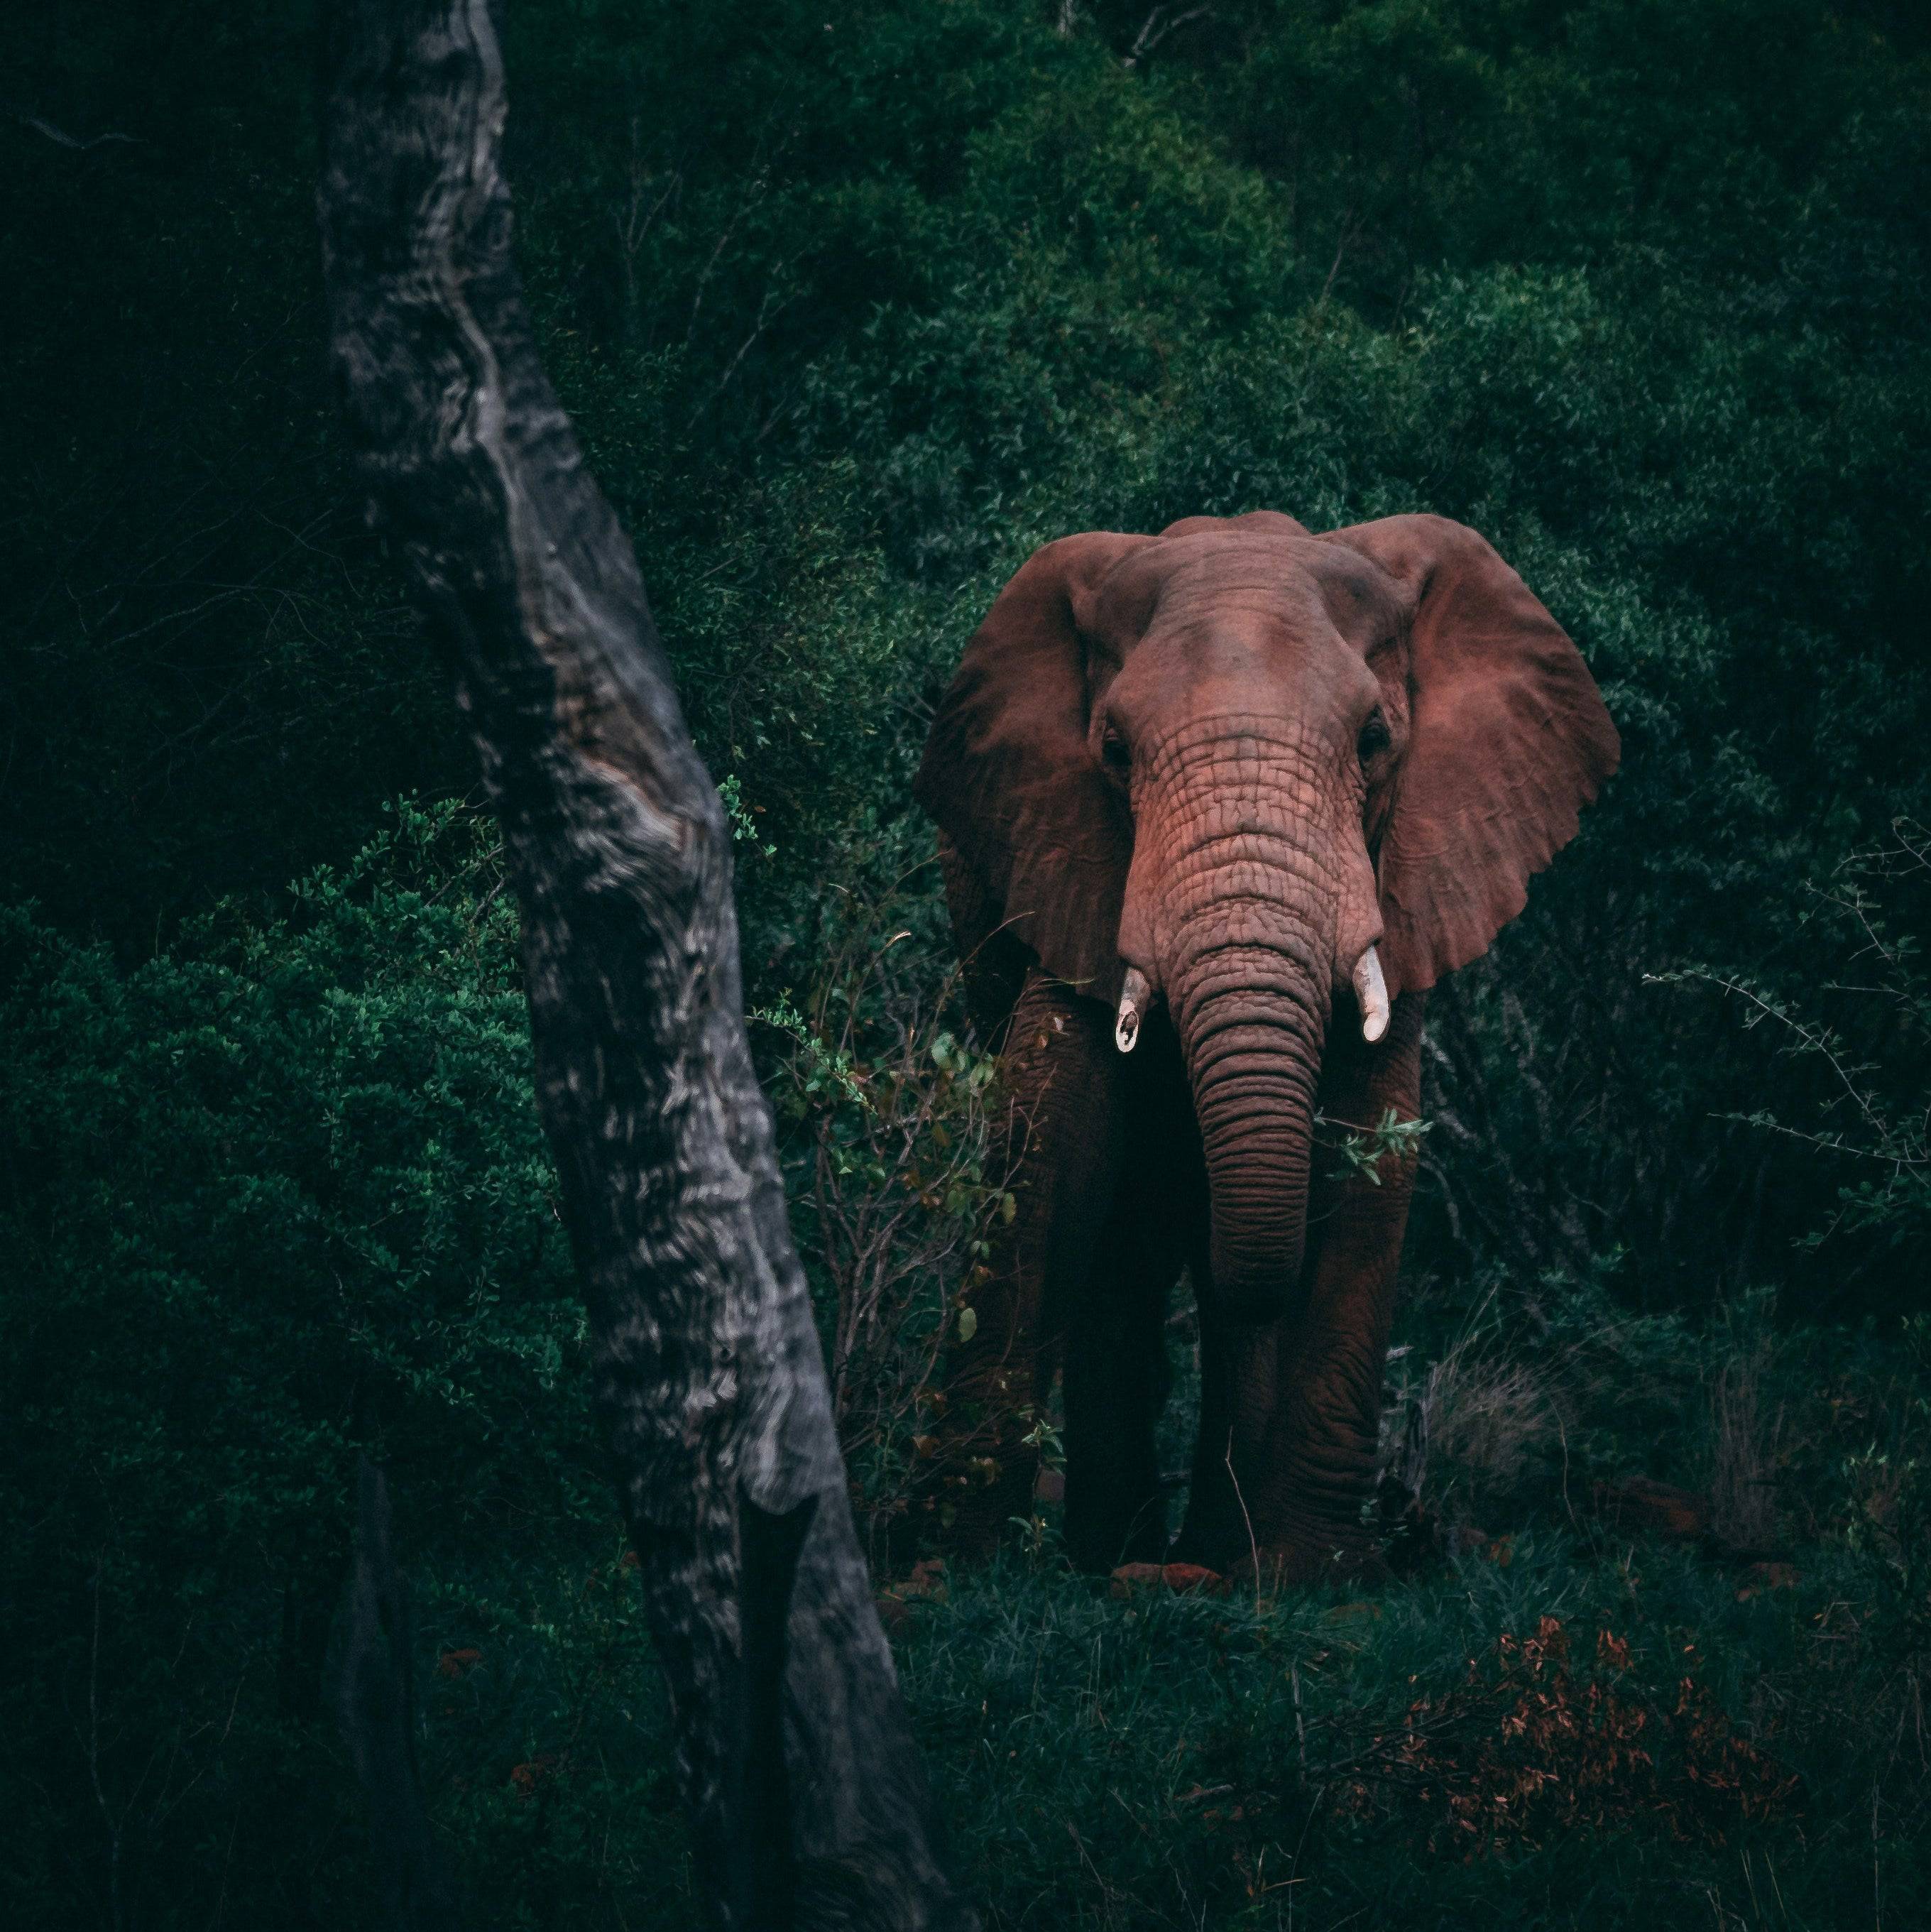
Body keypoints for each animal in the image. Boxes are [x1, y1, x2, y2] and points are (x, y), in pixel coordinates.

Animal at [911, 509, 1618, 1581]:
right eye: (1112, 749)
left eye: (1373, 741)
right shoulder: (1063, 856)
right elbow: (1053, 1144)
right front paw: (949, 1559)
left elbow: (1371, 1152)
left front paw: (1309, 1573)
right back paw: (1120, 1551)